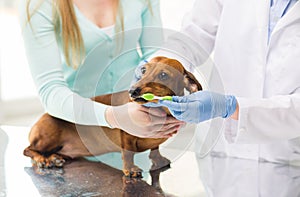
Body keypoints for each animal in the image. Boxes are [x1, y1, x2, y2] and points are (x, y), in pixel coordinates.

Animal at [23, 56, 202, 178]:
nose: (132, 91)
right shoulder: (126, 137)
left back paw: (54, 158)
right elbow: (128, 154)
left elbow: (155, 149)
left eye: (163, 75)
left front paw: (158, 159)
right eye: (144, 70)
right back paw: (44, 159)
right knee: (28, 150)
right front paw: (130, 169)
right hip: (48, 136)